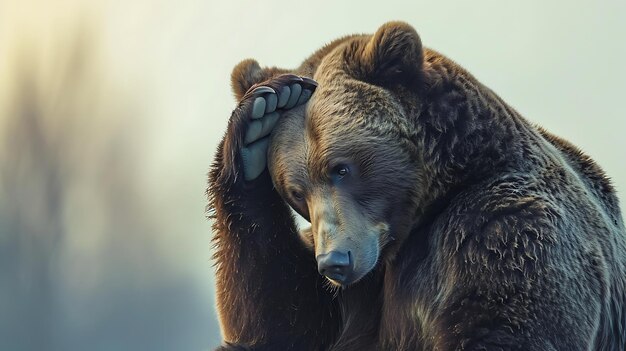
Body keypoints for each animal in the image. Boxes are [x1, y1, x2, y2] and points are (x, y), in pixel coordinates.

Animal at [208, 22, 624, 351]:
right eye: (297, 192)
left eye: (341, 169)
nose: (334, 262)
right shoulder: (363, 285)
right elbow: (287, 318)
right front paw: (260, 116)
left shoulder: (509, 228)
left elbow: (503, 325)